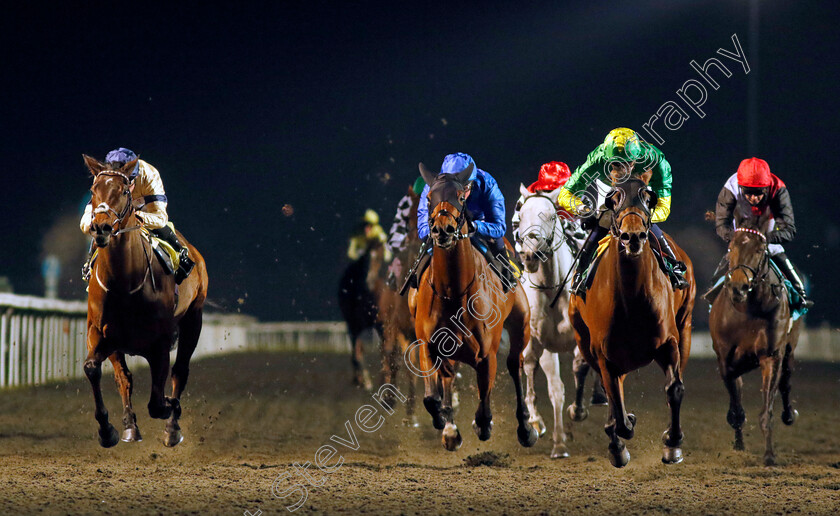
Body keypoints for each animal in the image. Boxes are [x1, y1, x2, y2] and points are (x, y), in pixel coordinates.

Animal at [82, 153, 208, 448]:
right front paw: (108, 430)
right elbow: (94, 369)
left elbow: (158, 402)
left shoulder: (159, 342)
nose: (101, 227)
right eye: (93, 190)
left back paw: (172, 428)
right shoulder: (101, 333)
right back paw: (130, 427)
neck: (123, 283)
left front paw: (172, 409)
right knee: (123, 378)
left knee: (180, 371)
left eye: (123, 191)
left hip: (193, 319)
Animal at [408, 163, 540, 450]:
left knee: (515, 364)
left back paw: (525, 428)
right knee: (448, 375)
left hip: (520, 325)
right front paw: (444, 421)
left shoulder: (487, 354)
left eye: (460, 196)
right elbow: (431, 396)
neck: (453, 292)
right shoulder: (427, 343)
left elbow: (484, 404)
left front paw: (483, 425)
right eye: (428, 198)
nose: (442, 230)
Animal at [516, 183, 600, 458]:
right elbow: (532, 372)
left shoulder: (581, 338)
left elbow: (580, 367)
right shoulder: (536, 343)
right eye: (521, 215)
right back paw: (559, 442)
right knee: (555, 390)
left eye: (551, 217)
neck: (552, 289)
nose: (530, 254)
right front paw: (535, 422)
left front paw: (578, 410)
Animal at [572, 176, 696, 468]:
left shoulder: (669, 342)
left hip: (685, 327)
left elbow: (675, 389)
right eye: (613, 199)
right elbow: (617, 409)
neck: (632, 298)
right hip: (585, 341)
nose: (634, 236)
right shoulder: (604, 356)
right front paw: (619, 441)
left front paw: (672, 443)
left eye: (647, 198)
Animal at [708, 208, 800, 466]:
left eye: (760, 249)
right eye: (731, 246)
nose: (738, 286)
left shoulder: (771, 355)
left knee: (786, 382)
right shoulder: (726, 360)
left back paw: (789, 414)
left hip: (789, 349)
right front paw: (738, 443)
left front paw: (769, 455)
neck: (748, 309)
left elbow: (766, 410)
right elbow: (737, 408)